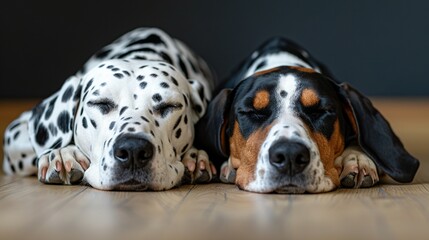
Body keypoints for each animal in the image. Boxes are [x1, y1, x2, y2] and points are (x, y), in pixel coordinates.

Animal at [2, 27, 217, 190]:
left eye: (169, 106)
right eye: (100, 103)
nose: (133, 150)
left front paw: (194, 156)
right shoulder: (15, 132)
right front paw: (64, 153)